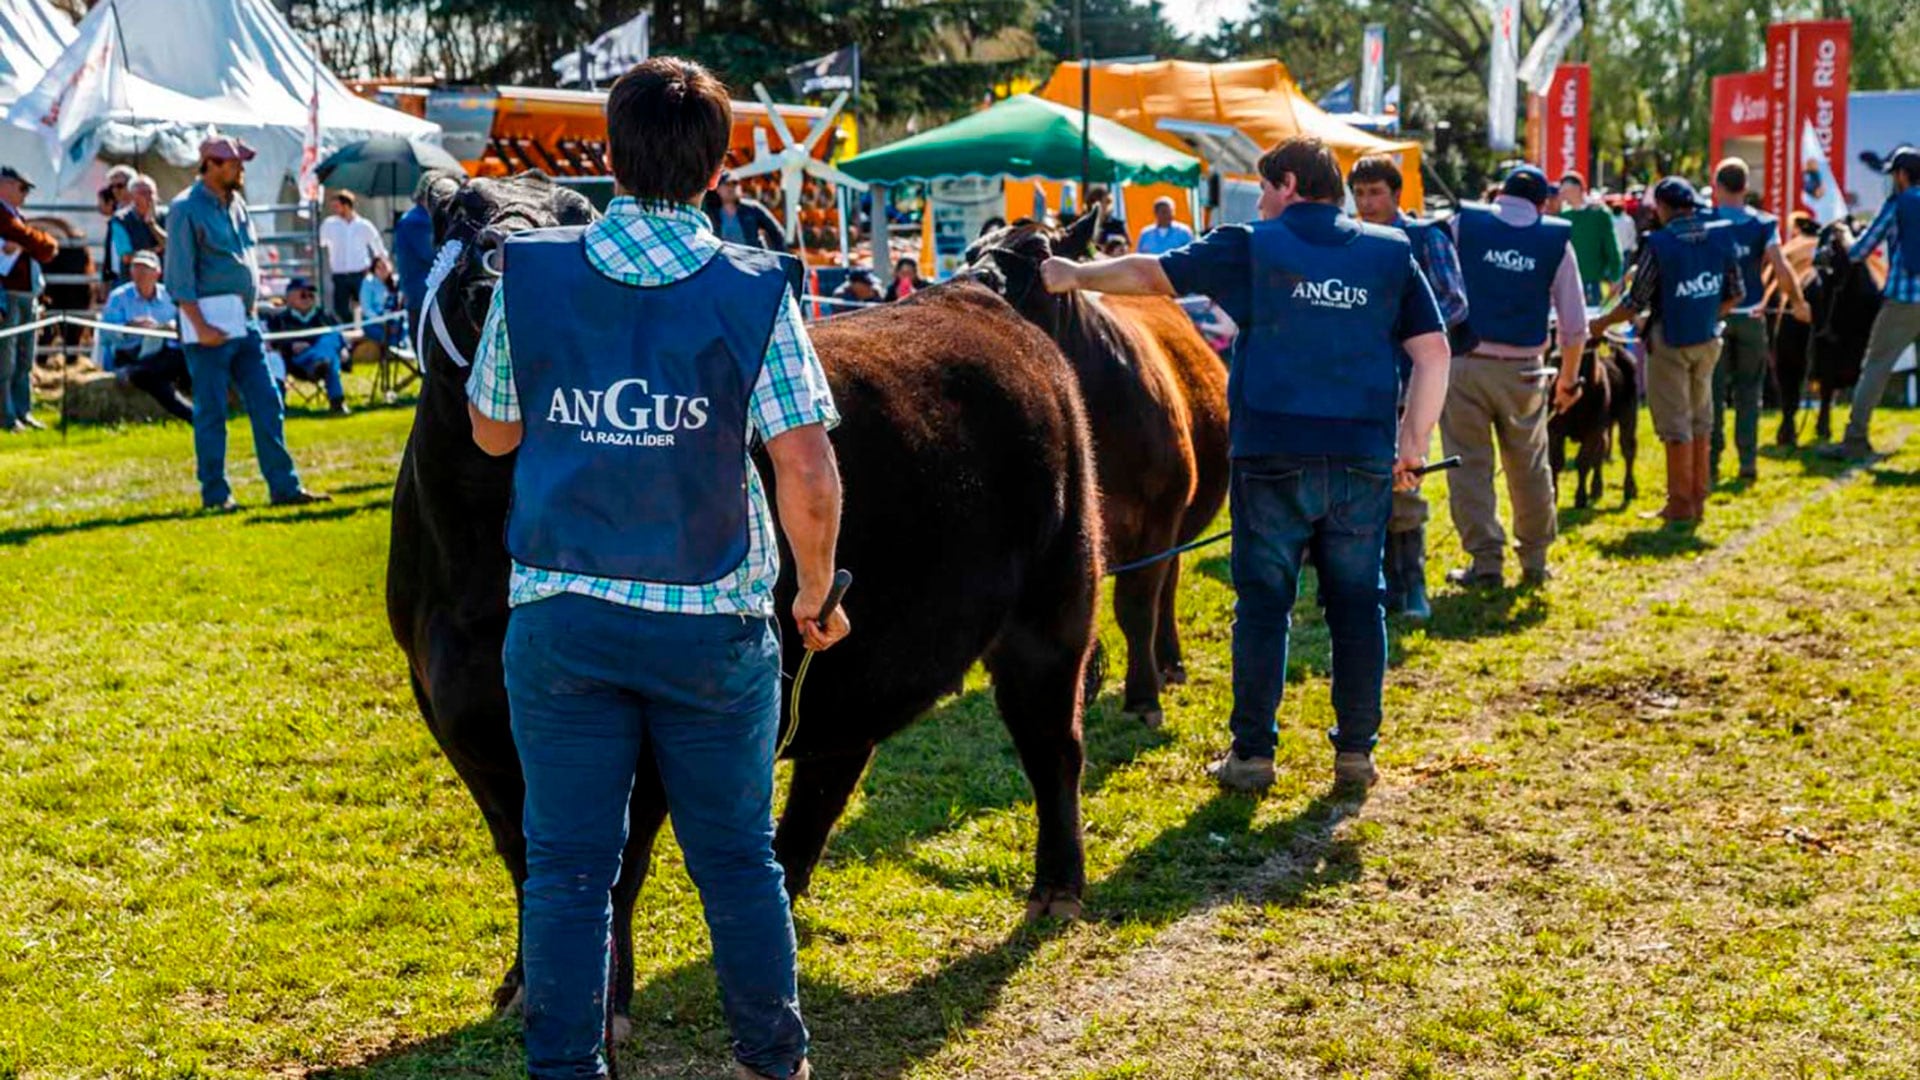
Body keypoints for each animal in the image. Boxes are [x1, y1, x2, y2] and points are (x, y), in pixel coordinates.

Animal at [384, 174, 1105, 1014]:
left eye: (582, 215)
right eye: (460, 210)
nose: (509, 256)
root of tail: (975, 295)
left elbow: (616, 863)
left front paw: (604, 1000)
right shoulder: (451, 709)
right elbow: (522, 854)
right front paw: (524, 985)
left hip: (1054, 602)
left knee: (1052, 744)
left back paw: (1057, 886)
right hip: (861, 649)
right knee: (831, 773)